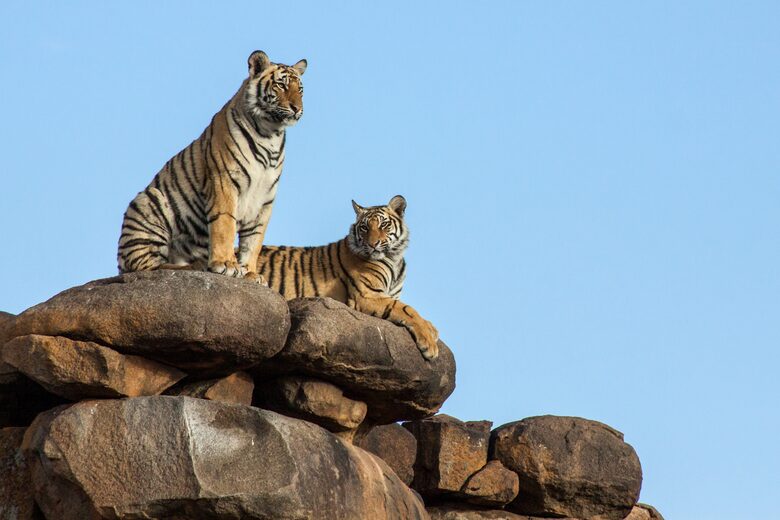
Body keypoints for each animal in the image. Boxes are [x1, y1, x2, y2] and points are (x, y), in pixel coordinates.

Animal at [117, 50, 306, 282]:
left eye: (300, 89)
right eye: (281, 85)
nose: (297, 109)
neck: (271, 134)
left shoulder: (264, 198)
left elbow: (254, 239)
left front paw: (250, 273)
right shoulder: (224, 182)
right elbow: (224, 225)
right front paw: (226, 264)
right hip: (149, 201)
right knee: (147, 268)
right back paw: (194, 266)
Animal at [257, 195, 440, 360]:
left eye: (383, 225)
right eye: (364, 227)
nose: (373, 244)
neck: (394, 259)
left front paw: (432, 329)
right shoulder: (367, 294)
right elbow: (406, 309)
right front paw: (430, 342)